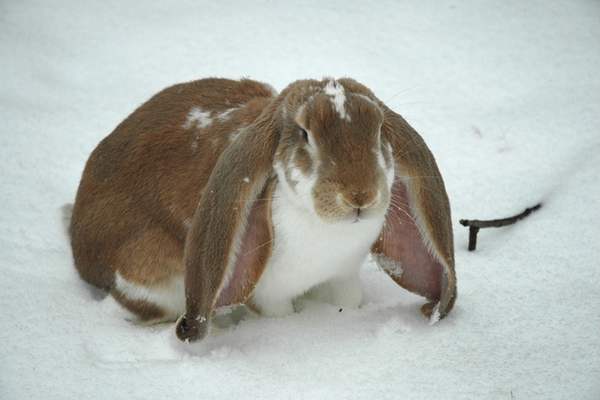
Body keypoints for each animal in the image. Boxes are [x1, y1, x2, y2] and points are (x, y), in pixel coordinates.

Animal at [69, 77, 454, 340]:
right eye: (304, 134)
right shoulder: (269, 294)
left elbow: (348, 298)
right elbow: (278, 313)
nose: (360, 196)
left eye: (378, 130)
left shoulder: (343, 276)